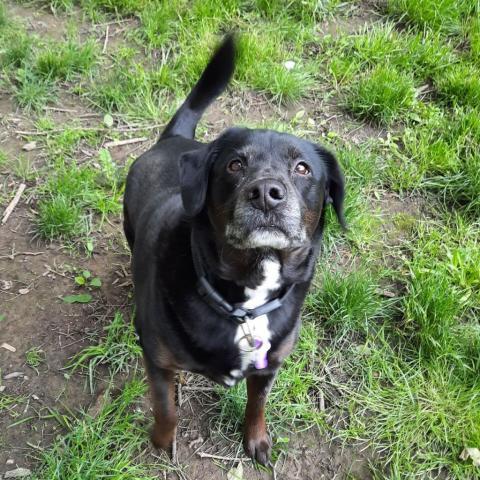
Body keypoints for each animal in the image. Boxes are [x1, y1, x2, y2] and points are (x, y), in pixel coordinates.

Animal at [122, 35, 344, 466]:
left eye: (303, 169)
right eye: (235, 165)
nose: (266, 193)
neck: (245, 303)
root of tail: (173, 139)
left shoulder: (269, 365)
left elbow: (258, 404)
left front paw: (256, 439)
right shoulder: (158, 361)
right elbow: (166, 408)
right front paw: (161, 443)